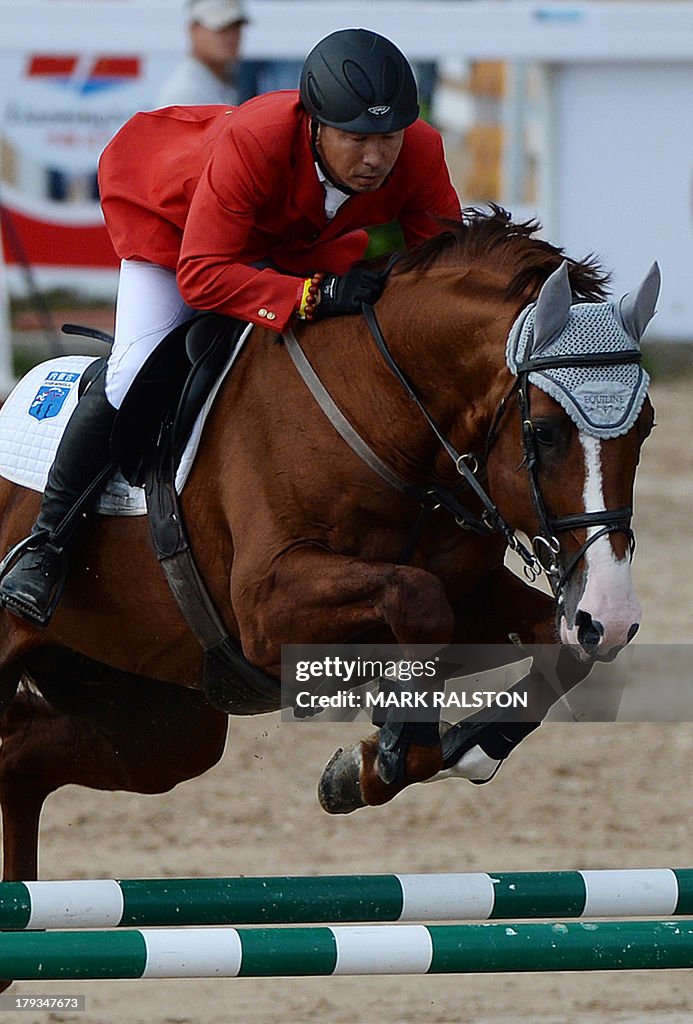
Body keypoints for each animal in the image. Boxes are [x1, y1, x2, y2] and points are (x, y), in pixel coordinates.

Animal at [0, 207, 655, 880]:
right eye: (545, 433)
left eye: (648, 426)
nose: (612, 615)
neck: (385, 416)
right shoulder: (264, 610)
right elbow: (419, 601)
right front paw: (392, 746)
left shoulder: (475, 593)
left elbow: (562, 651)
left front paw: (445, 752)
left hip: (155, 717)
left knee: (22, 757)